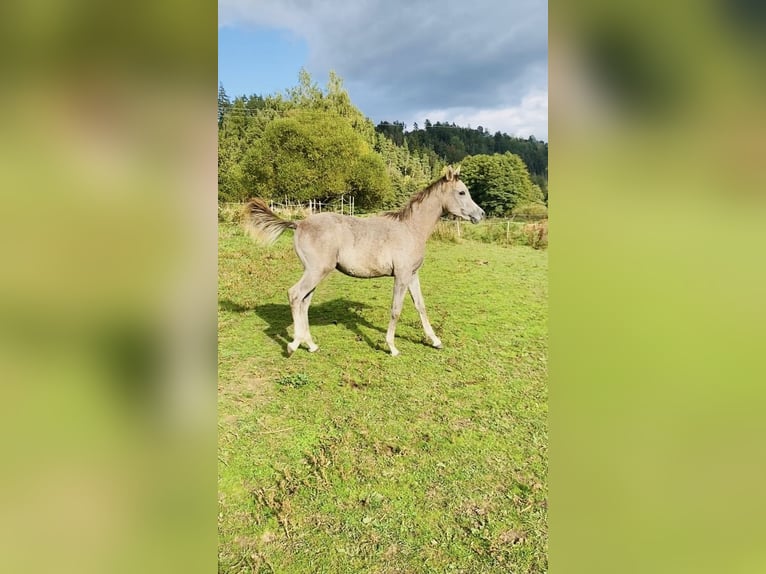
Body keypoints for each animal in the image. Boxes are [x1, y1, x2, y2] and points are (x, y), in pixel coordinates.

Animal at [243, 165, 485, 356]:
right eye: (462, 192)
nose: (481, 215)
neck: (411, 228)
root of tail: (299, 223)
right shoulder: (401, 276)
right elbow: (396, 309)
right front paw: (392, 347)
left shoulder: (413, 275)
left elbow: (420, 306)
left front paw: (435, 341)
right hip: (316, 271)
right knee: (294, 295)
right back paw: (293, 344)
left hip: (315, 272)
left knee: (304, 302)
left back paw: (310, 344)